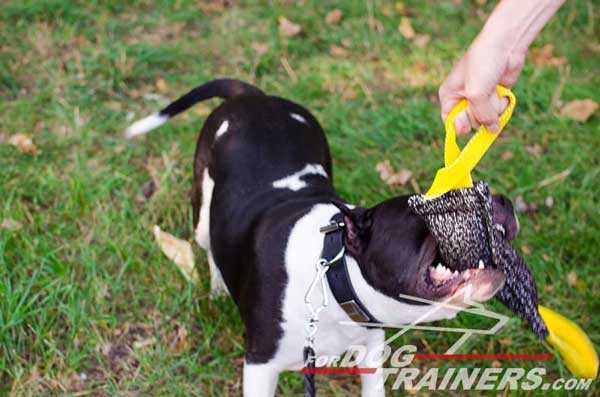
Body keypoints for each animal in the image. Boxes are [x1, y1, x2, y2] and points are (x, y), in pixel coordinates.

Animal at [127, 79, 520, 394]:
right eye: (436, 205)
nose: (500, 199)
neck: (333, 272)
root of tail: (253, 97)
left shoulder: (370, 349)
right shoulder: (260, 366)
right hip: (202, 212)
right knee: (209, 245)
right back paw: (218, 288)